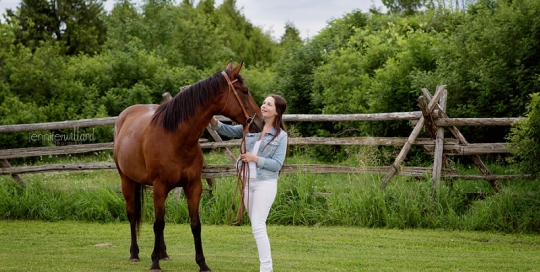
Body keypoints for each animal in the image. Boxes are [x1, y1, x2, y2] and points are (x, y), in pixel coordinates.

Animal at [114, 61, 264, 272]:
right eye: (245, 91)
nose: (260, 122)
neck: (175, 137)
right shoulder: (159, 186)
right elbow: (157, 223)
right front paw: (154, 263)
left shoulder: (193, 186)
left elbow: (194, 224)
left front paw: (202, 263)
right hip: (127, 180)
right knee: (133, 214)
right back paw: (134, 254)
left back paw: (163, 253)